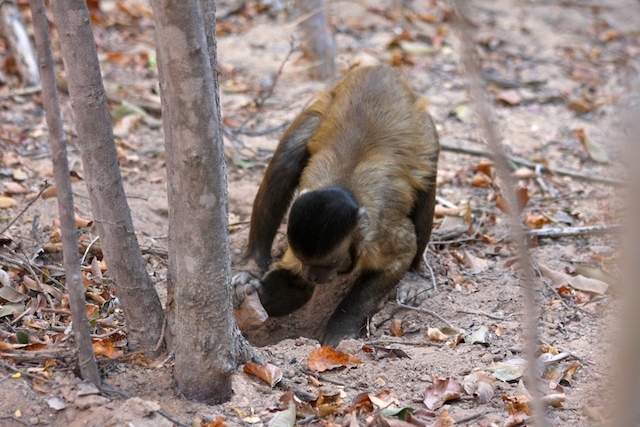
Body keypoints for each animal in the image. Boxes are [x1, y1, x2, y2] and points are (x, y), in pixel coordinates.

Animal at [233, 65, 439, 348]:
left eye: (329, 264)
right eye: (307, 262)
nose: (313, 276)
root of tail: (381, 70)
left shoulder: (380, 233)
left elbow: (400, 255)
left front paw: (341, 326)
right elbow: (296, 288)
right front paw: (256, 292)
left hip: (425, 129)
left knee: (427, 177)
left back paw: (414, 276)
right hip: (322, 105)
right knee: (287, 158)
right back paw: (253, 262)